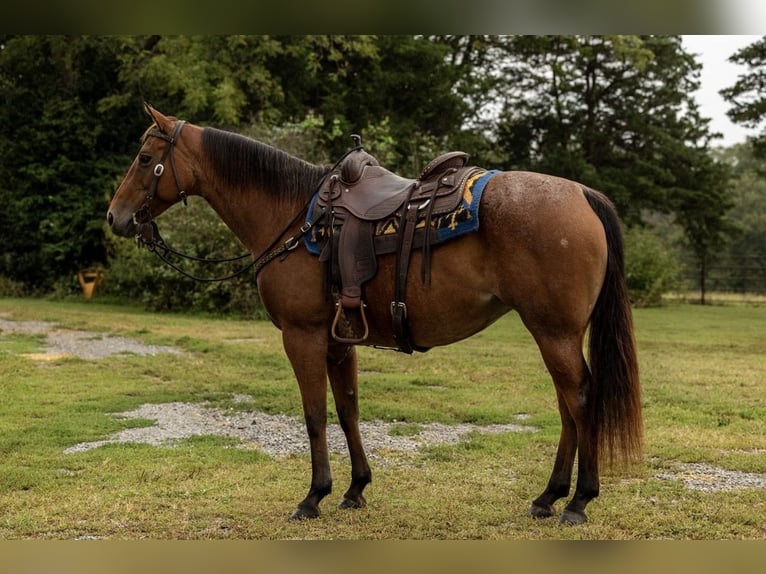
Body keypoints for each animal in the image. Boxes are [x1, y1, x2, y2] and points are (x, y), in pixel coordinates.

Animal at [107, 104, 642, 525]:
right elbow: (348, 411)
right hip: (553, 333)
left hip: (554, 332)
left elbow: (314, 415)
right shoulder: (338, 341)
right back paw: (548, 496)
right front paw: (355, 488)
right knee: (567, 404)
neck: (294, 217)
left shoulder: (302, 336)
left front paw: (313, 496)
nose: (115, 216)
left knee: (580, 399)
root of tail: (582, 194)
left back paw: (579, 501)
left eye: (145, 159)